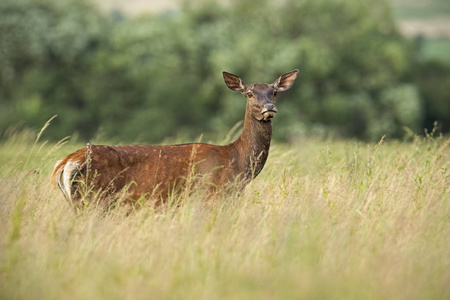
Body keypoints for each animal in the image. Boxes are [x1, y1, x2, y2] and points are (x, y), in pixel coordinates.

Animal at [51, 69, 298, 210]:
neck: (238, 163)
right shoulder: (212, 195)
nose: (269, 107)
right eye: (249, 93)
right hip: (92, 199)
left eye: (274, 92)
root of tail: (66, 162)